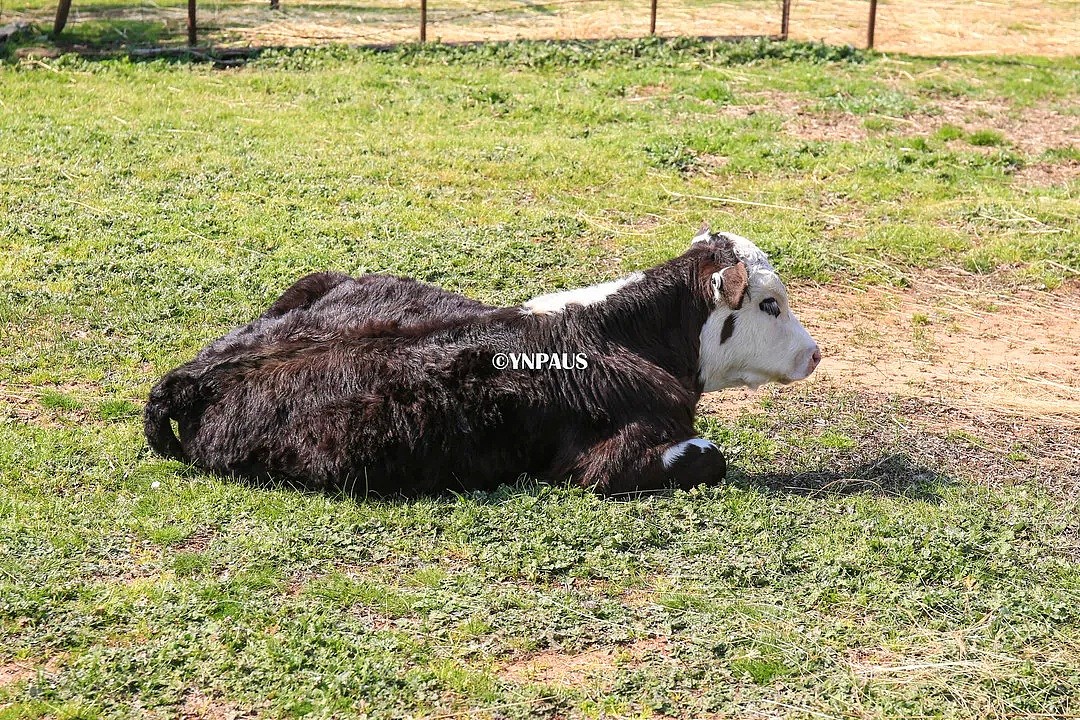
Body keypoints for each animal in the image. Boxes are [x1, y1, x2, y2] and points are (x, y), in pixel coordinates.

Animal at [143, 229, 816, 496]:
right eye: (769, 303)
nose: (814, 353)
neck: (624, 336)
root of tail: (193, 375)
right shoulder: (602, 464)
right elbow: (709, 457)